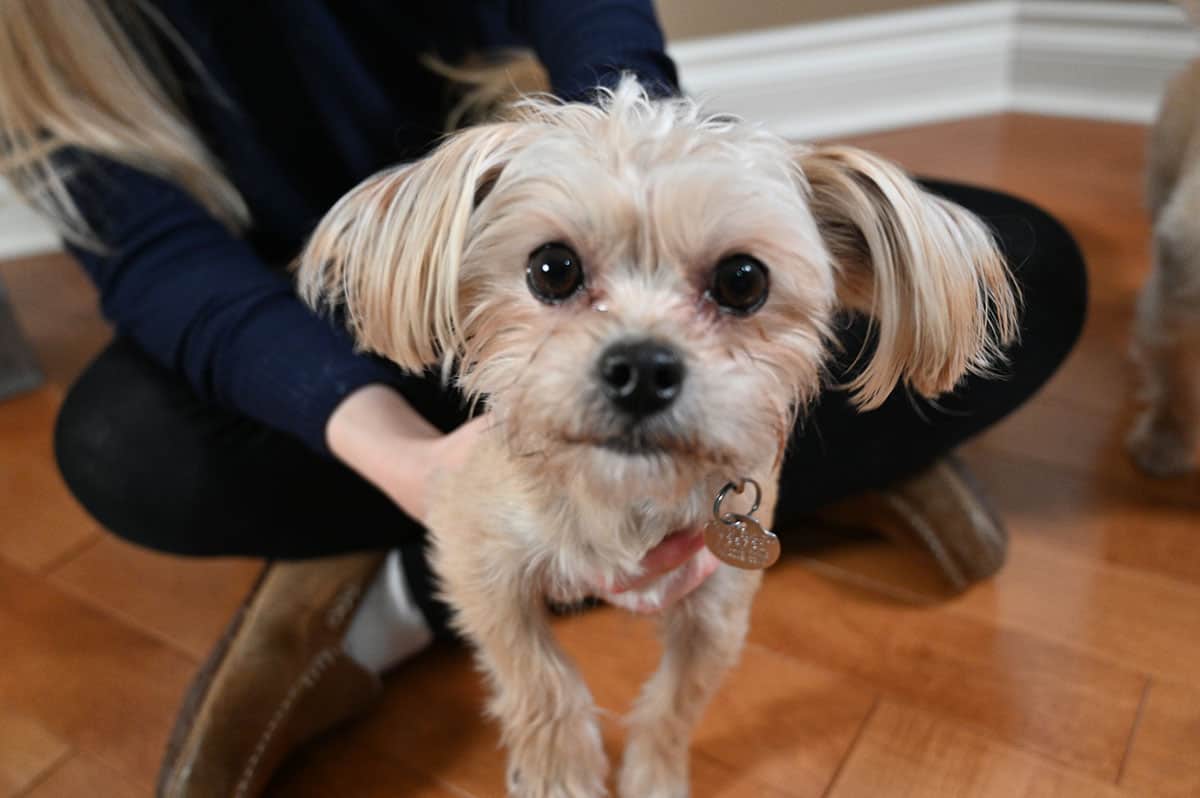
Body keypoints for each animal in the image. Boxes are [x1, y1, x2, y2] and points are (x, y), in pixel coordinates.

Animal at [295, 76, 1017, 796]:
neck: (623, 499)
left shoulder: (718, 604)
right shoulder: (478, 559)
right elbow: (541, 683)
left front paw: (653, 778)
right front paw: (561, 776)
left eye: (743, 280)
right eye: (551, 268)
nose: (641, 370)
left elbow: (675, 703)